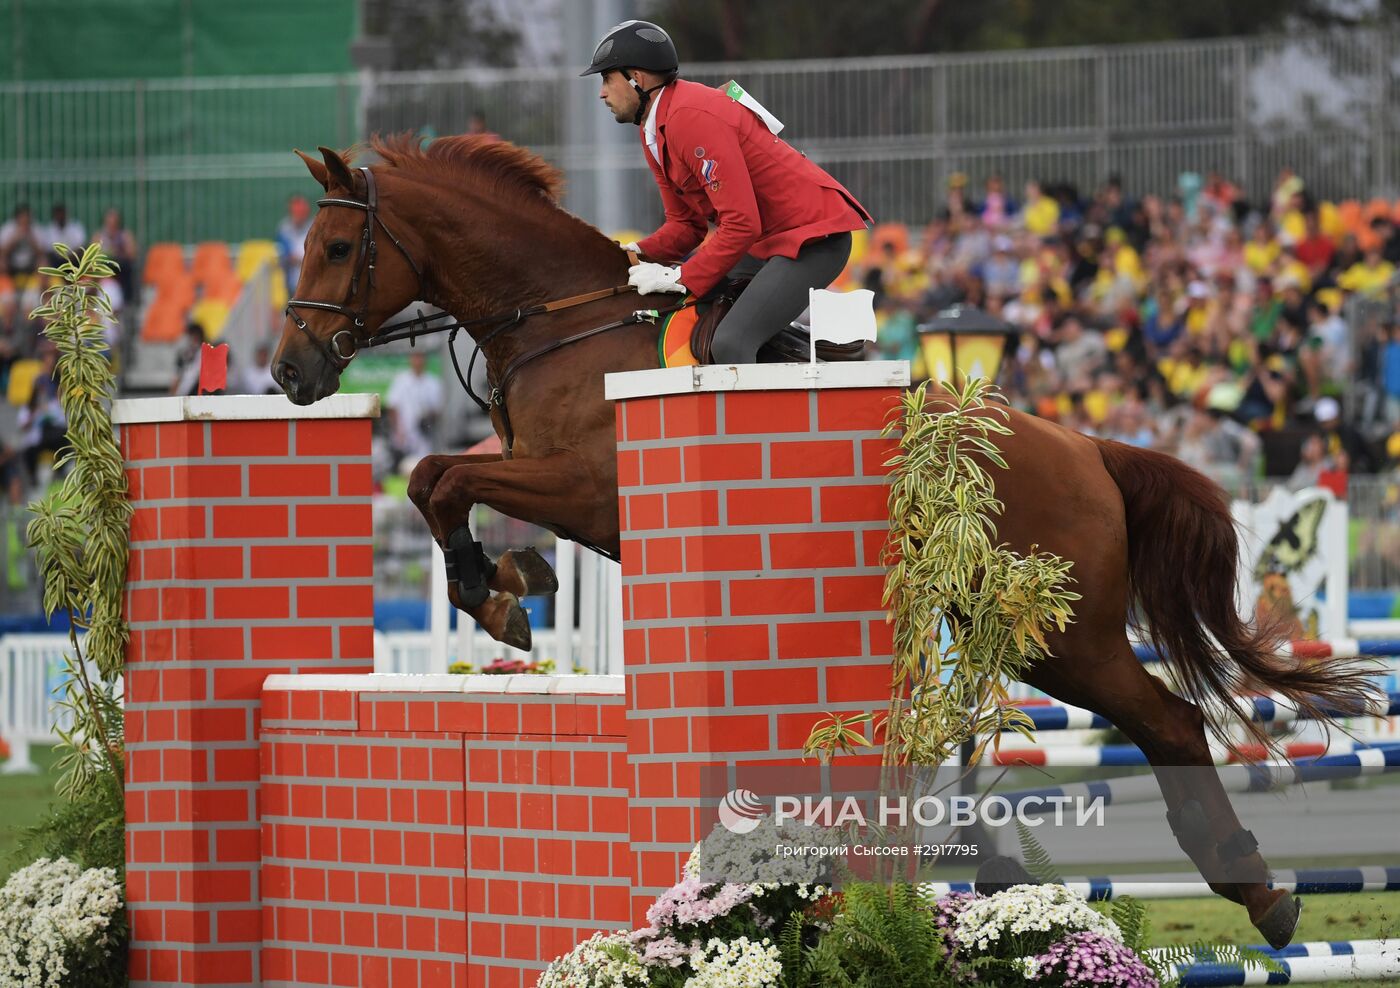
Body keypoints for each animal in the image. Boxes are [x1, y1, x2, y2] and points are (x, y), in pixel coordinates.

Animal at [273, 134, 1377, 940]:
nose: (288, 371)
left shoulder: (582, 485)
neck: (563, 321)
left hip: (1064, 636)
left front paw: (495, 589)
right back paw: (1254, 890)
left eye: (338, 249)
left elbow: (441, 476)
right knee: (1163, 725)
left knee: (1171, 722)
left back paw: (1256, 890)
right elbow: (436, 479)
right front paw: (509, 582)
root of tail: (1087, 446)